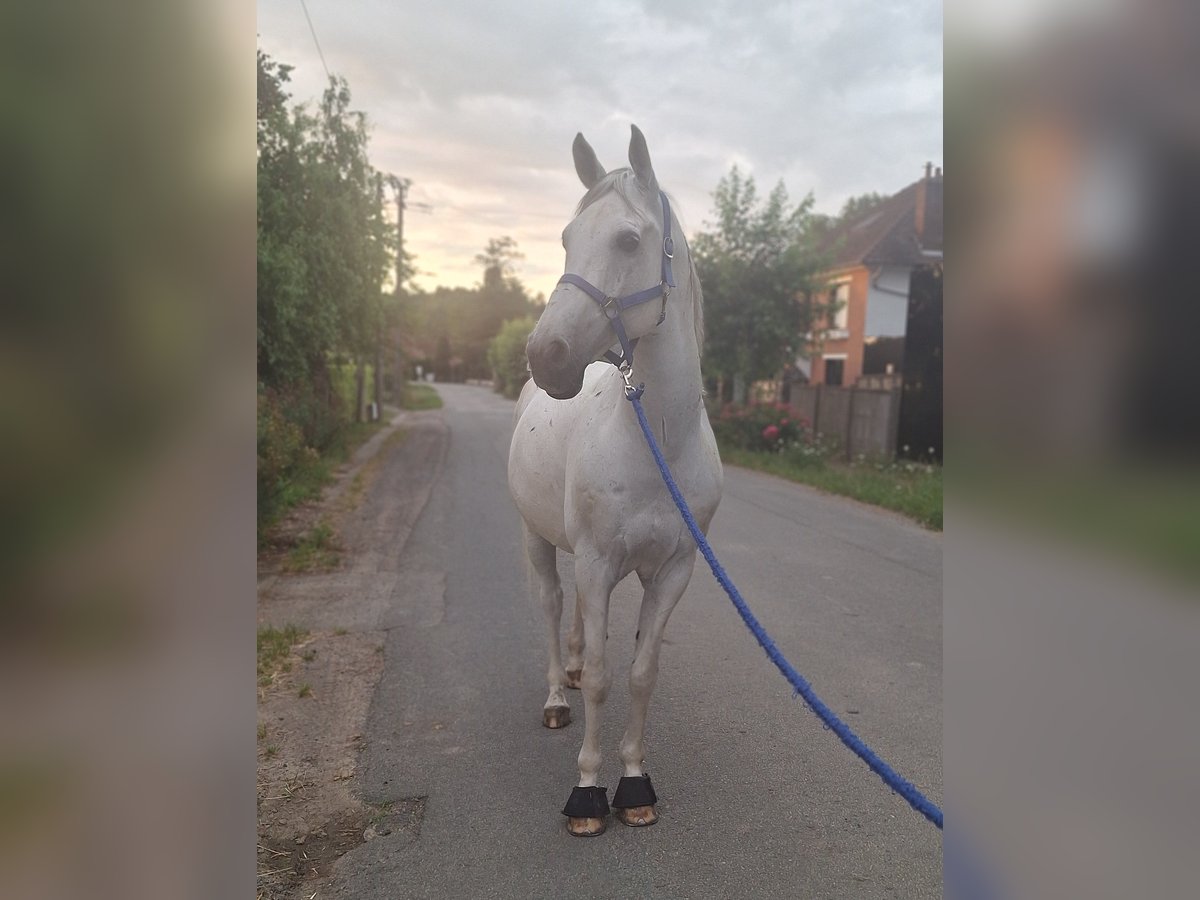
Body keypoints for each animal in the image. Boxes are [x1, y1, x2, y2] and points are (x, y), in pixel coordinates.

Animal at [506, 125, 720, 840]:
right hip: (537, 539)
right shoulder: (599, 562)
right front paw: (588, 793)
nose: (546, 358)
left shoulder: (674, 571)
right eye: (567, 238)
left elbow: (642, 674)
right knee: (550, 607)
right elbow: (602, 678)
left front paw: (633, 785)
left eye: (628, 240)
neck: (658, 443)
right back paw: (555, 694)